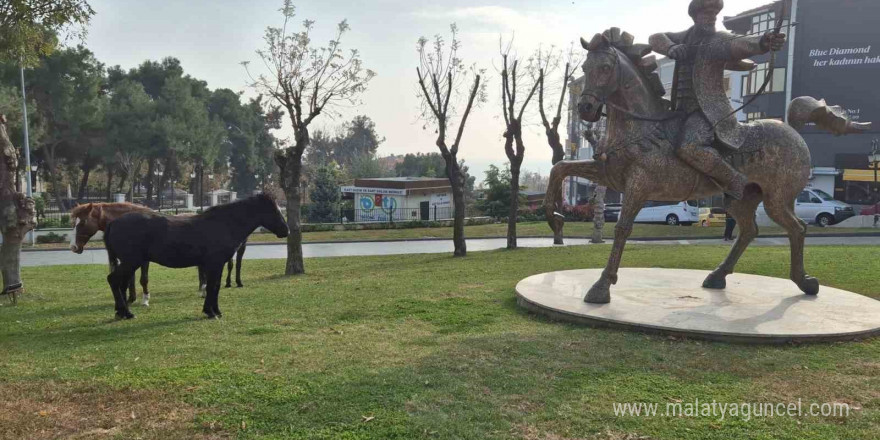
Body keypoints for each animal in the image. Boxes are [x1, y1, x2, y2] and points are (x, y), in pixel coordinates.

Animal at [69, 203, 246, 306]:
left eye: (82, 222)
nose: (73, 247)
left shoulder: (143, 260)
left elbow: (142, 279)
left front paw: (145, 299)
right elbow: (130, 278)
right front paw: (130, 298)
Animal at [105, 194, 288, 318]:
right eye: (273, 210)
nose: (286, 231)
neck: (223, 224)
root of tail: (114, 222)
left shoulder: (217, 264)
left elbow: (216, 286)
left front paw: (215, 310)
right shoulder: (215, 263)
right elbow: (213, 286)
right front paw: (211, 312)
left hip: (129, 263)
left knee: (120, 283)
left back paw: (122, 312)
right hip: (131, 261)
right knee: (113, 280)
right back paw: (126, 312)